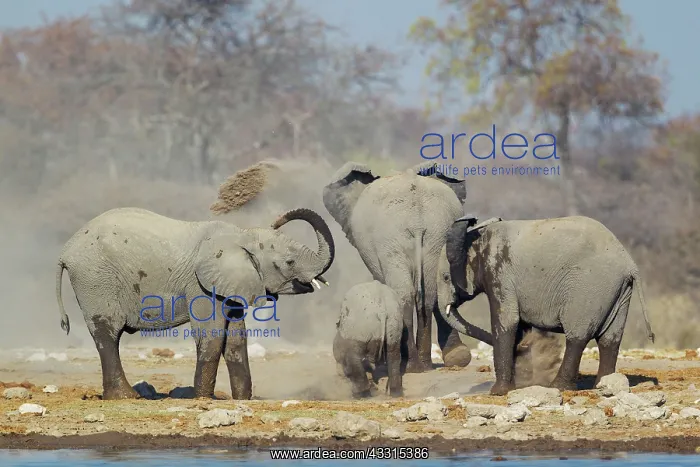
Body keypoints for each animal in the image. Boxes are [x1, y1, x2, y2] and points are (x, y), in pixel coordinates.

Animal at [55, 206, 334, 400]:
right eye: (289, 262)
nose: (277, 220)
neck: (241, 235)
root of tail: (65, 250)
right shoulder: (200, 285)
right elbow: (211, 336)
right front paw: (203, 399)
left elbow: (235, 340)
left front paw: (242, 399)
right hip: (95, 279)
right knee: (108, 335)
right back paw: (125, 398)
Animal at [323, 161, 487, 373]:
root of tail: (416, 216)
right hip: (437, 232)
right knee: (431, 292)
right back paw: (428, 364)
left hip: (391, 238)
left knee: (403, 293)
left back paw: (408, 365)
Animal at [437, 214, 655, 396]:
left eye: (446, 277)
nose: (524, 346)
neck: (475, 236)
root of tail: (629, 263)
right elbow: (518, 324)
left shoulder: (499, 273)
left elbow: (506, 322)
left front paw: (498, 392)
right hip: (620, 291)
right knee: (610, 339)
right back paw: (602, 385)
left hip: (590, 287)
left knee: (578, 337)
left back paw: (559, 387)